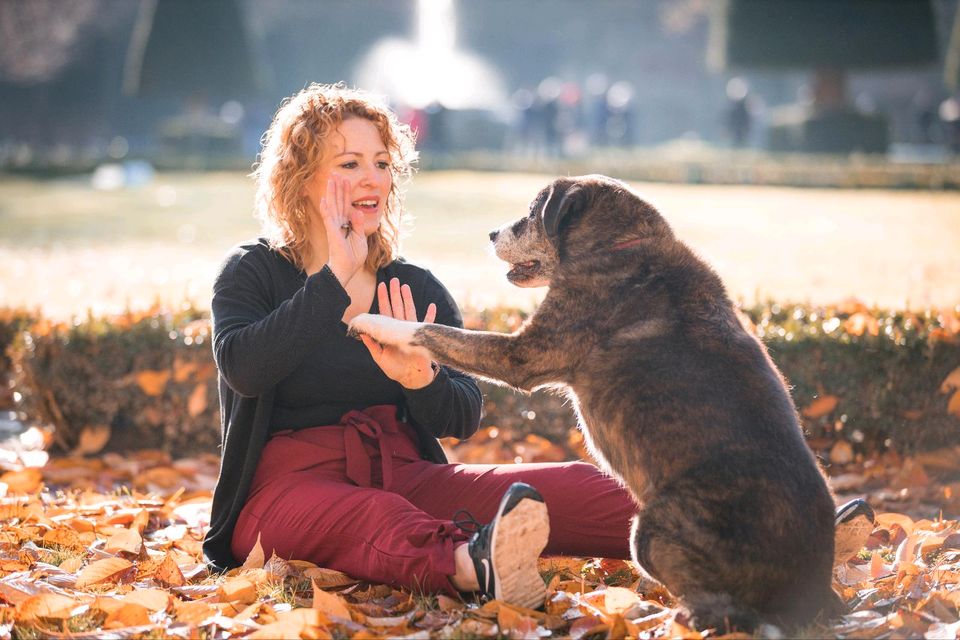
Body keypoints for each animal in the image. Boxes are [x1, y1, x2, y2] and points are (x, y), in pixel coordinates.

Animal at [350, 175, 840, 632]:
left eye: (533, 213)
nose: (490, 234)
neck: (620, 246)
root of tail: (813, 594)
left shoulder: (522, 355)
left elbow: (432, 332)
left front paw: (373, 321)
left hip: (648, 532)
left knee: (719, 613)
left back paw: (658, 616)